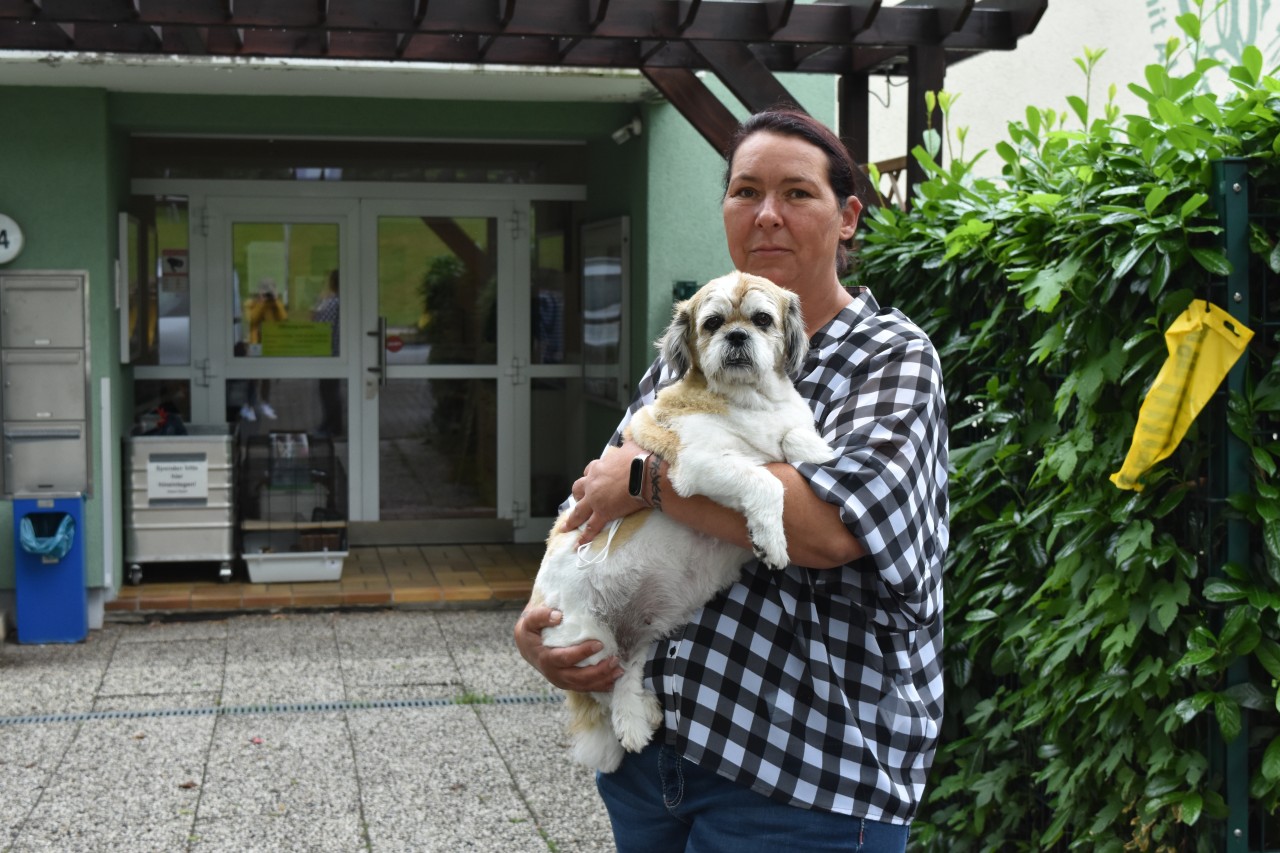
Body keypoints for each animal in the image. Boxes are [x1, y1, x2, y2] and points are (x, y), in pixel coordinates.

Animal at [527, 270, 829, 768]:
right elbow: (764, 480)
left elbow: (796, 436)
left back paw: (635, 716)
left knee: (629, 669)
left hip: (647, 628)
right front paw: (771, 539)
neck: (750, 402)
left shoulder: (783, 426)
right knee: (608, 682)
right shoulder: (698, 464)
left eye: (763, 320)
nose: (737, 336)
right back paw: (631, 719)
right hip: (583, 641)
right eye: (713, 324)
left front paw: (818, 451)